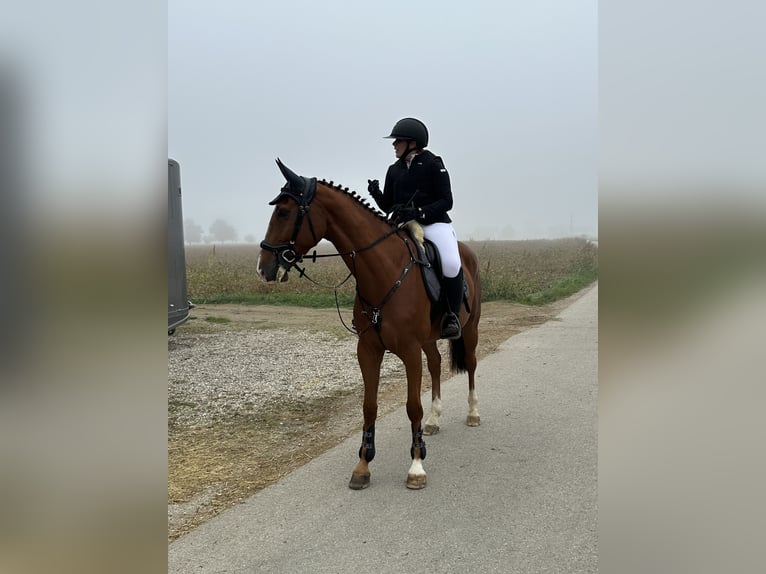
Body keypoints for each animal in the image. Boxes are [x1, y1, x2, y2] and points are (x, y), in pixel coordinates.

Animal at [257, 159, 482, 490]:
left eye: (284, 212)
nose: (263, 268)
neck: (383, 271)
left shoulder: (409, 350)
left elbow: (412, 405)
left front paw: (416, 466)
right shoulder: (368, 349)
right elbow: (369, 406)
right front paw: (363, 465)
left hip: (470, 328)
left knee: (471, 364)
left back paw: (473, 412)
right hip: (429, 339)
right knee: (436, 364)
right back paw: (434, 420)